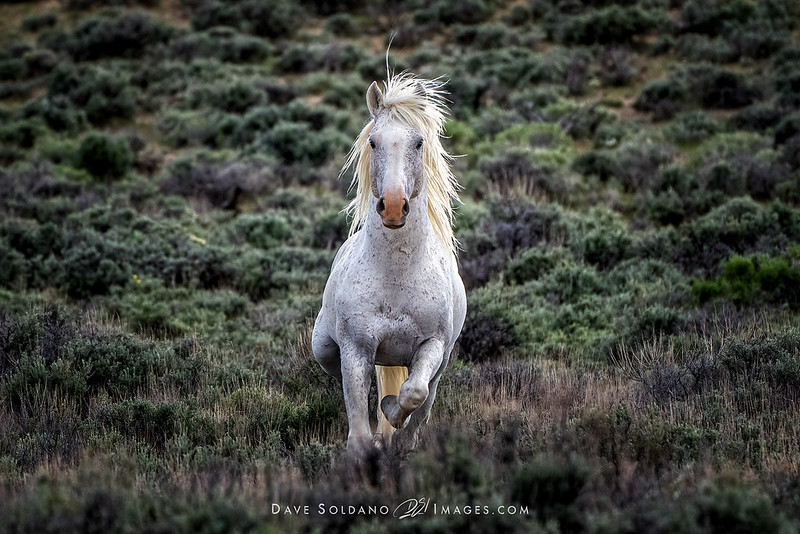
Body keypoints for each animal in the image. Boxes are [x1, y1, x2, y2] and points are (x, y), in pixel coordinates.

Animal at [312, 72, 466, 459]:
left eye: (419, 142)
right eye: (373, 142)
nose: (394, 206)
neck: (396, 276)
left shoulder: (432, 346)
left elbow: (413, 393)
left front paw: (391, 416)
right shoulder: (356, 349)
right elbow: (359, 427)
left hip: (439, 361)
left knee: (424, 399)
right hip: (325, 348)